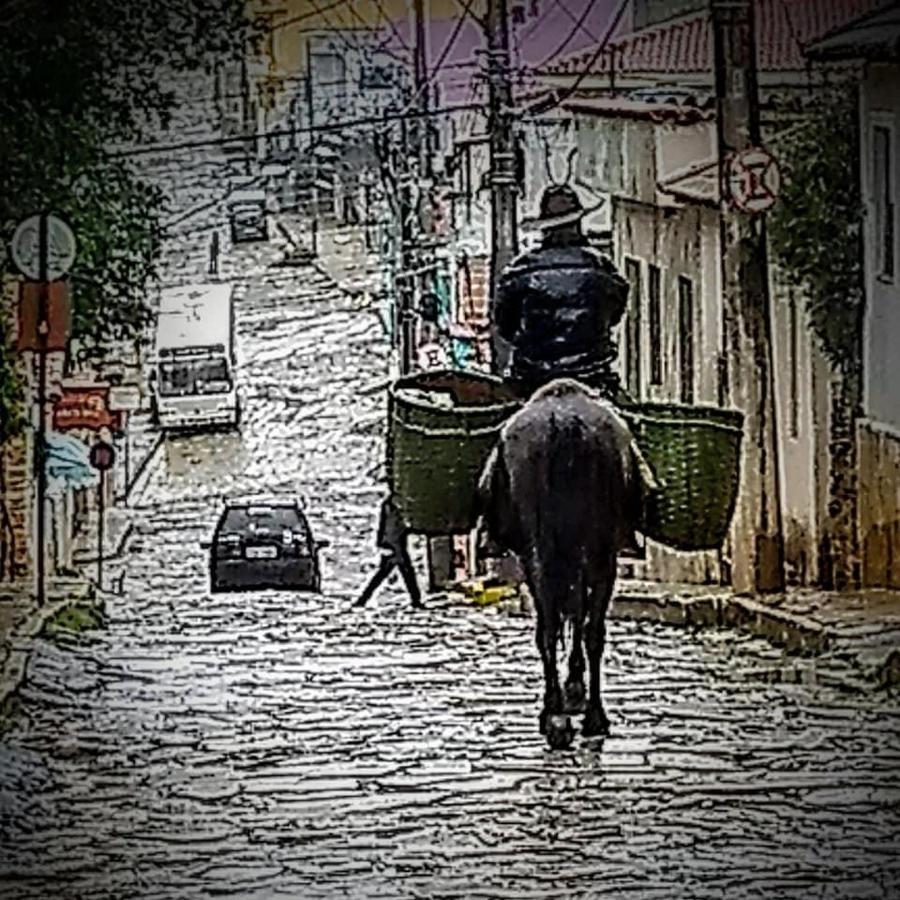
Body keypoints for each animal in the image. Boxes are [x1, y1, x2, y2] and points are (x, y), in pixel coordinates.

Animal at [474, 376, 652, 748]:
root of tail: (564, 422)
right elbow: (578, 617)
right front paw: (575, 690)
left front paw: (571, 692)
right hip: (595, 553)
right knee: (588, 629)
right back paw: (588, 715)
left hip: (547, 552)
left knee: (553, 628)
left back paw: (556, 716)